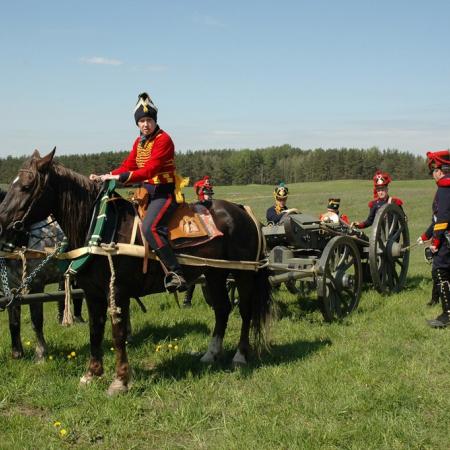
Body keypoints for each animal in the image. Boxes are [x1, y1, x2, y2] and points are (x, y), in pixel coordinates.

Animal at [0, 149, 270, 394]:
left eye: (26, 186)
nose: (2, 224)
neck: (99, 226)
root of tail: (242, 210)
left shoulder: (117, 291)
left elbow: (118, 332)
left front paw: (119, 381)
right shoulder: (92, 292)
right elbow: (95, 330)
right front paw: (91, 374)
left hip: (243, 274)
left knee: (245, 311)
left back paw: (240, 356)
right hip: (214, 274)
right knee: (222, 309)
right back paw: (210, 354)